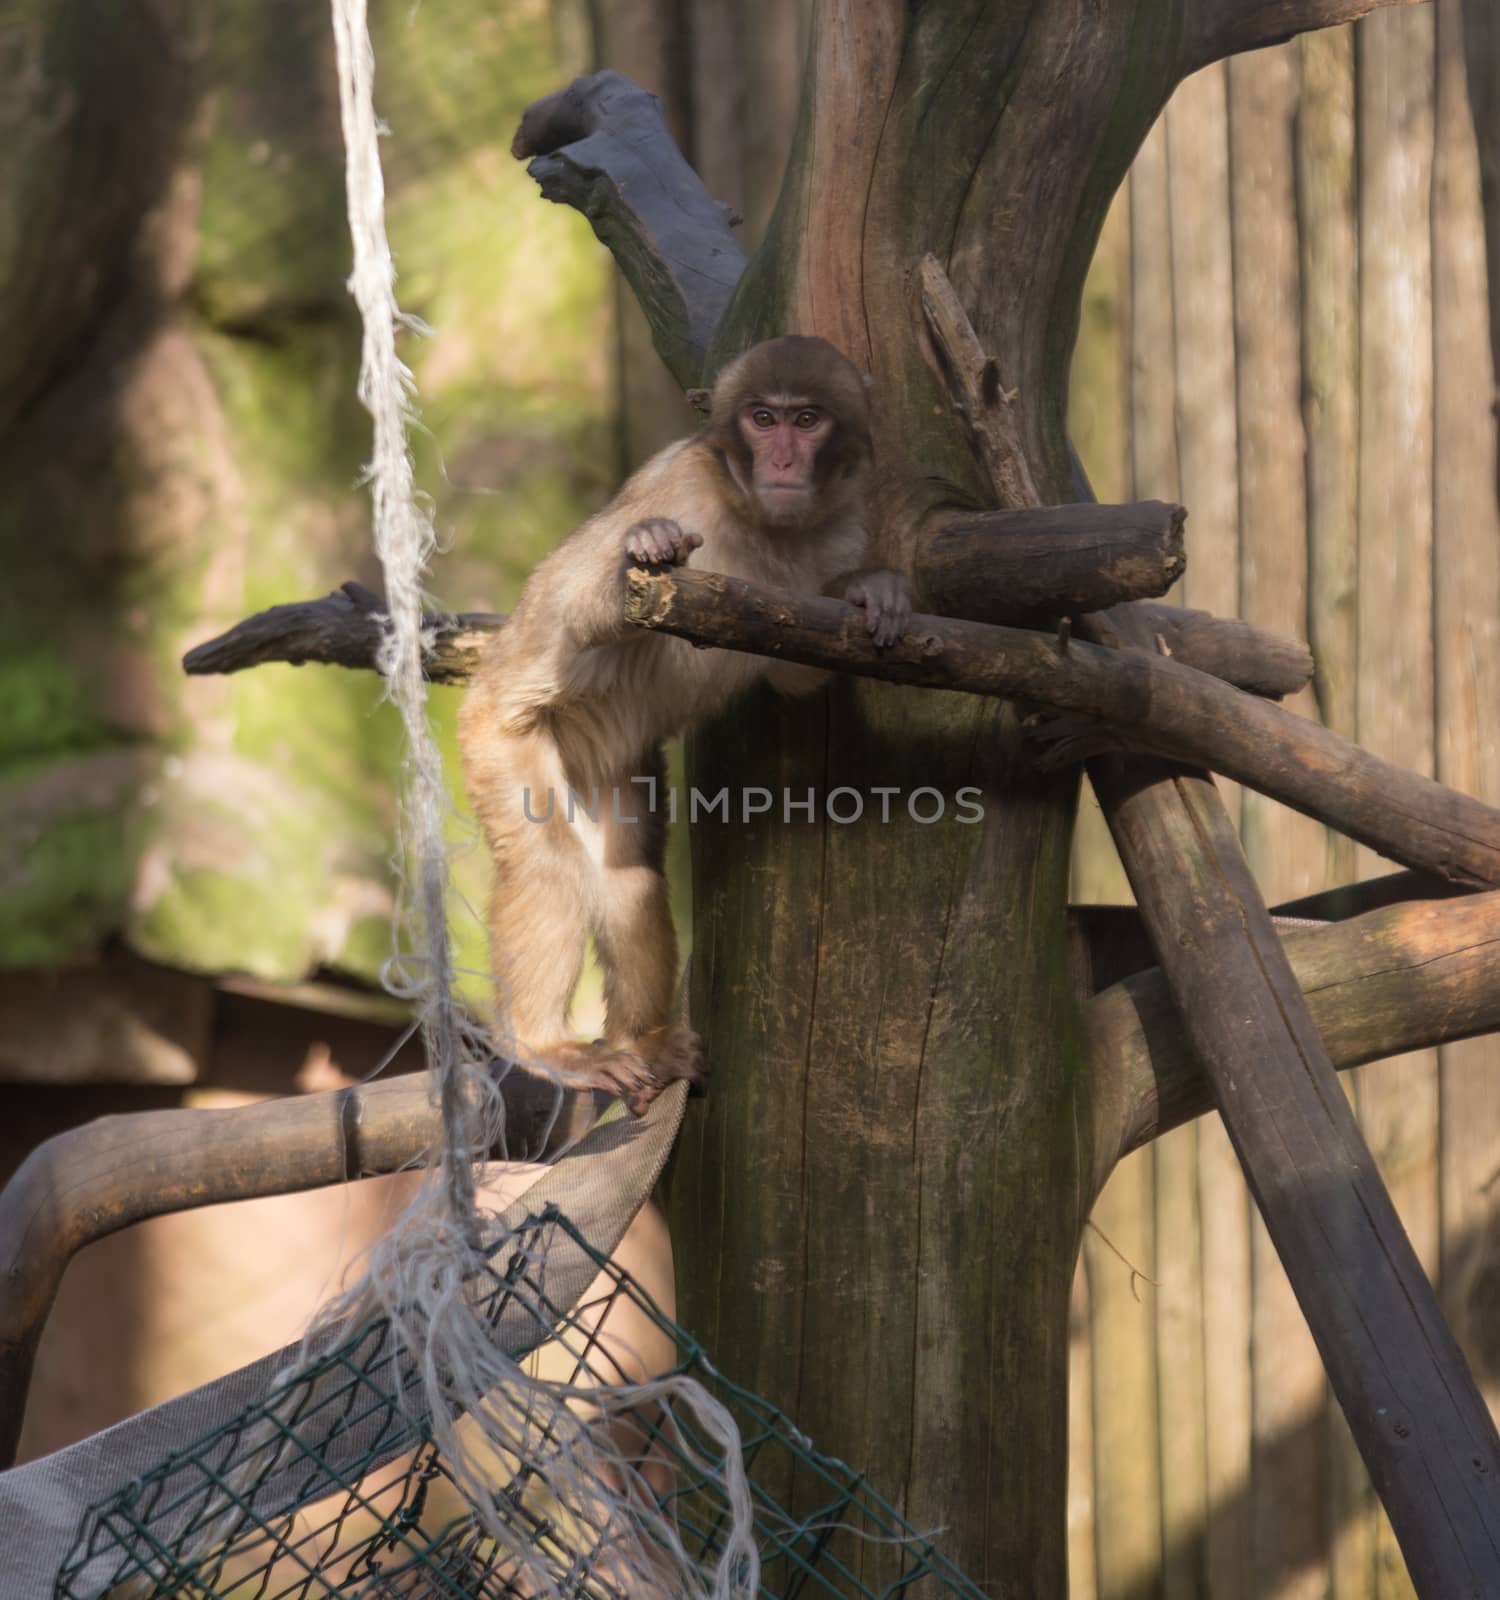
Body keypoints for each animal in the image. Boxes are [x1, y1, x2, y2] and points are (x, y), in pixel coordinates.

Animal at [457, 337, 908, 1113]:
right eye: (762, 419)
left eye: (807, 420)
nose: (782, 460)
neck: (760, 520)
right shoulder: (682, 484)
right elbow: (585, 601)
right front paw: (646, 551)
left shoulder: (846, 524)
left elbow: (795, 671)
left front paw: (865, 588)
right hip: (498, 734)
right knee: (548, 859)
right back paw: (543, 1049)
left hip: (603, 756)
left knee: (629, 870)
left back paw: (642, 1043)